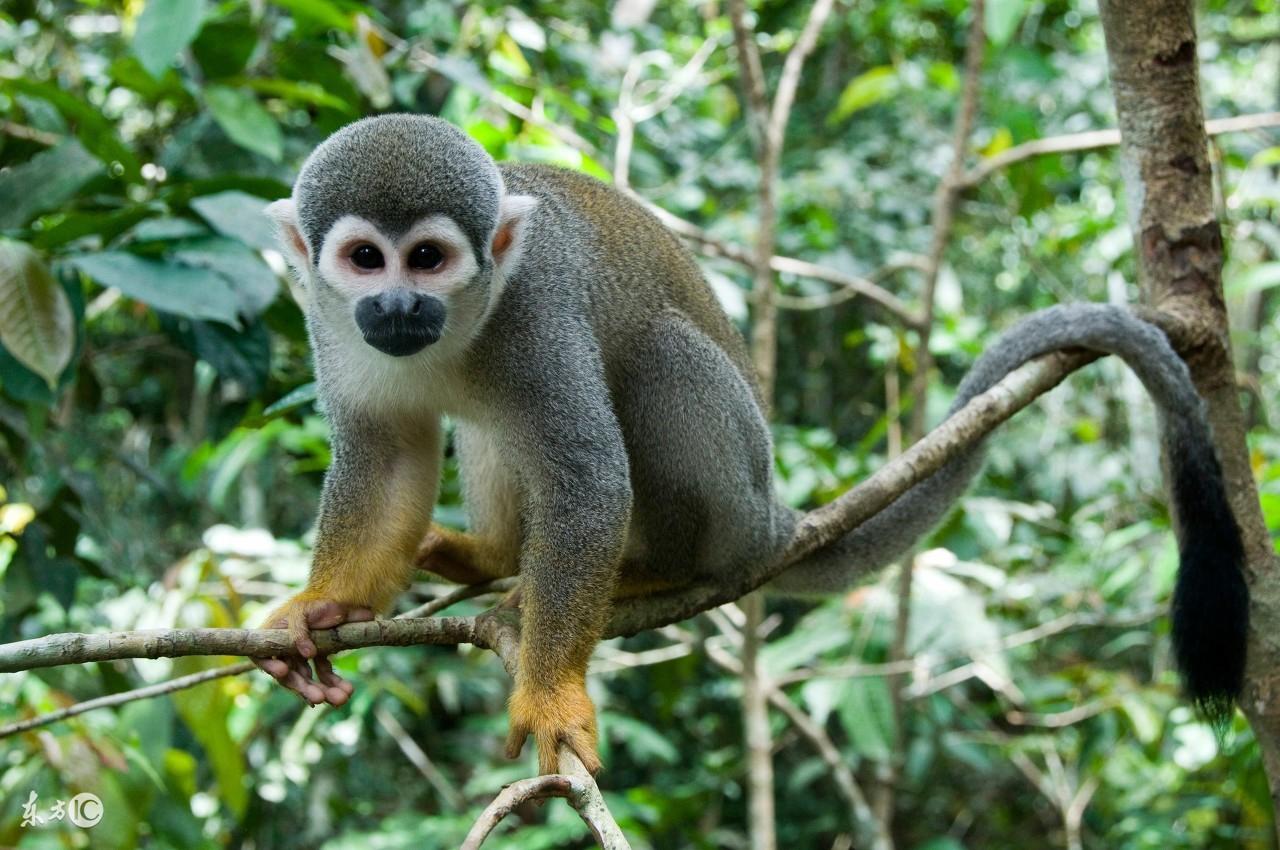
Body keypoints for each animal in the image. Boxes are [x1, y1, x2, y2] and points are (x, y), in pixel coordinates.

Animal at [259, 112, 1249, 778]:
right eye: (365, 260)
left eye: (427, 259)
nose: (396, 305)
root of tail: (773, 516)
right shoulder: (327, 322)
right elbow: (385, 454)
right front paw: (322, 610)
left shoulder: (537, 308)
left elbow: (587, 477)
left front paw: (549, 693)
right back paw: (492, 556)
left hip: (733, 491)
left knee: (654, 359)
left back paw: (654, 571)